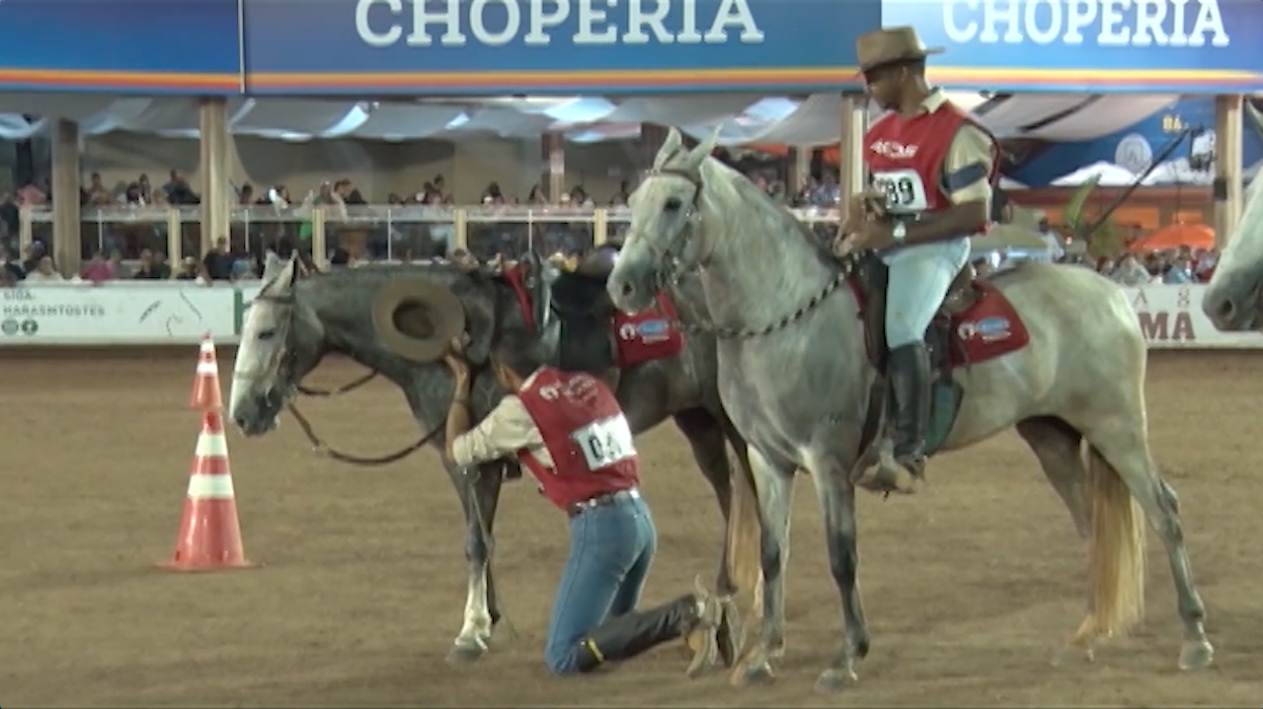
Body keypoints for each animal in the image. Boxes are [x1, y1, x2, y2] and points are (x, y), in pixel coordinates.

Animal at [227, 254, 757, 662]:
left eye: (267, 332)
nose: (242, 414)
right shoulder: (463, 461)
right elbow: (479, 534)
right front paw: (489, 616)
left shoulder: (473, 460)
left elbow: (476, 543)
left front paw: (472, 630)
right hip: (696, 417)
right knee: (728, 489)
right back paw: (726, 585)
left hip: (729, 417)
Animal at [606, 128, 1217, 692]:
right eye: (633, 200)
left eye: (673, 203)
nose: (623, 285)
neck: (786, 316)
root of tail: (1110, 295)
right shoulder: (768, 459)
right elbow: (773, 552)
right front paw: (762, 655)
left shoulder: (827, 461)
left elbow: (841, 555)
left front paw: (847, 656)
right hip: (1052, 436)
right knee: (1091, 525)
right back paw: (1088, 633)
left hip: (1118, 428)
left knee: (1164, 511)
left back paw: (1195, 636)